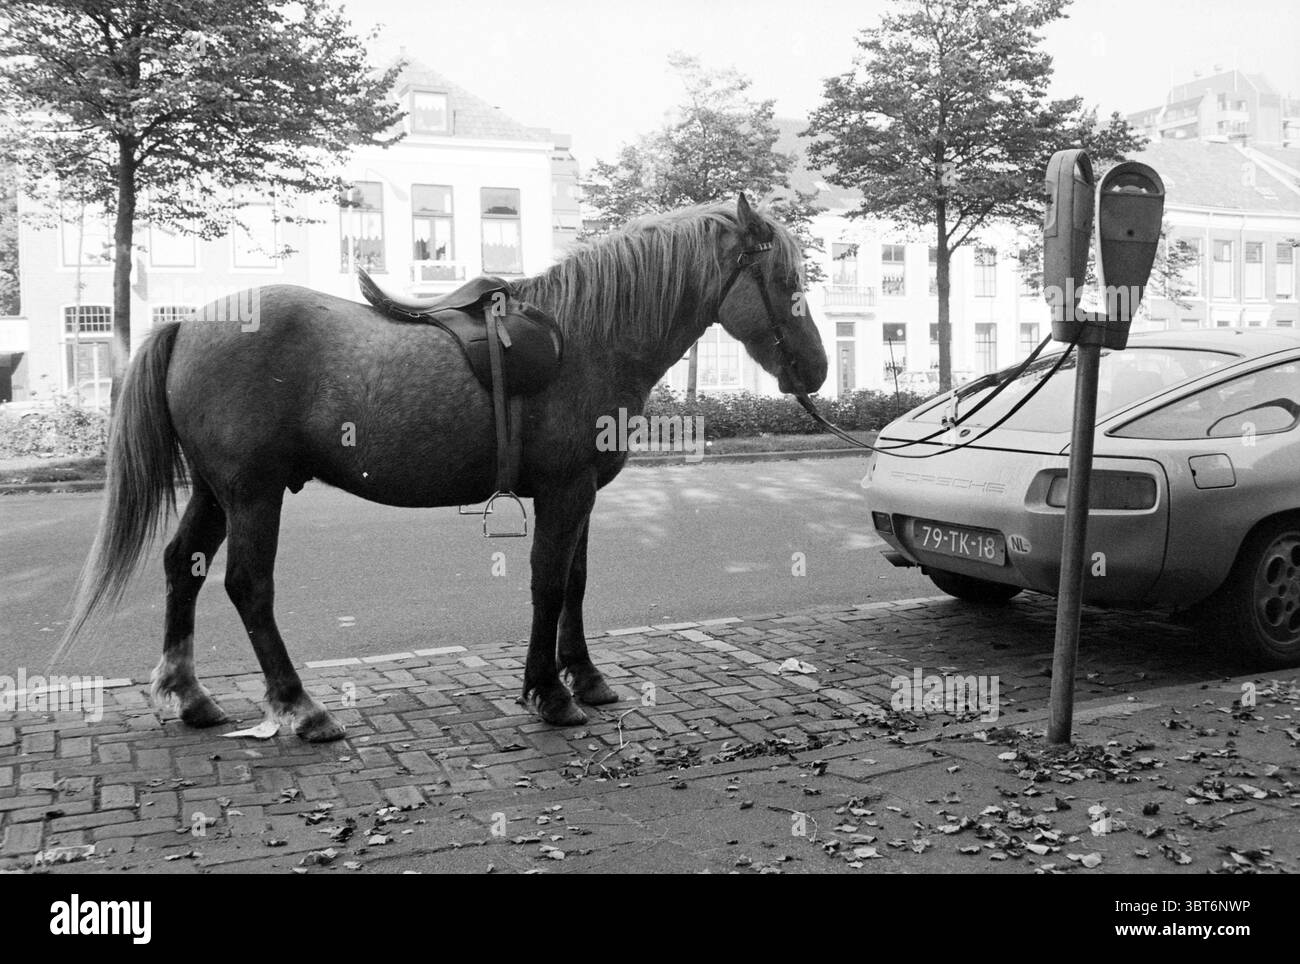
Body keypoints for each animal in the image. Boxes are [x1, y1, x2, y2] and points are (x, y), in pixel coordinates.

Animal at [59, 194, 828, 741]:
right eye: (785, 278)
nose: (817, 370)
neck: (589, 335)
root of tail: (186, 323)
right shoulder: (564, 490)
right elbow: (549, 584)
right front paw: (550, 693)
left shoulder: (580, 494)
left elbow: (576, 584)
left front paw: (584, 676)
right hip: (252, 493)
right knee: (249, 587)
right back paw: (301, 708)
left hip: (216, 491)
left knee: (182, 565)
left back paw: (190, 696)